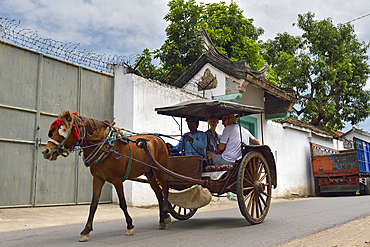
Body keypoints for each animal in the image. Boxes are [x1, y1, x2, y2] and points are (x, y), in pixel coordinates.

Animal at [41, 111, 171, 242]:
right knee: (158, 193)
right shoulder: (98, 178)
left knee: (165, 189)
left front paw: (130, 226)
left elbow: (122, 203)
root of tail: (158, 139)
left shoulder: (117, 180)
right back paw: (162, 220)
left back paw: (166, 214)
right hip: (149, 172)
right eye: (52, 132)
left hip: (158, 169)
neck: (106, 147)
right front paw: (86, 230)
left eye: (63, 130)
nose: (46, 151)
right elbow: (93, 205)